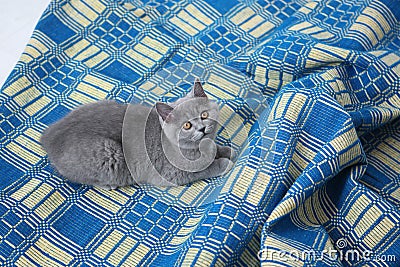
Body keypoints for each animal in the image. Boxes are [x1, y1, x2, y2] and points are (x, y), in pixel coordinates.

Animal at [40, 79, 234, 191]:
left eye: (204, 115)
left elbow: (215, 149)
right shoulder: (173, 173)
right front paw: (223, 163)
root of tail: (49, 136)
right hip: (109, 153)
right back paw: (109, 184)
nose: (201, 129)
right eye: (187, 125)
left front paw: (225, 150)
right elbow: (204, 170)